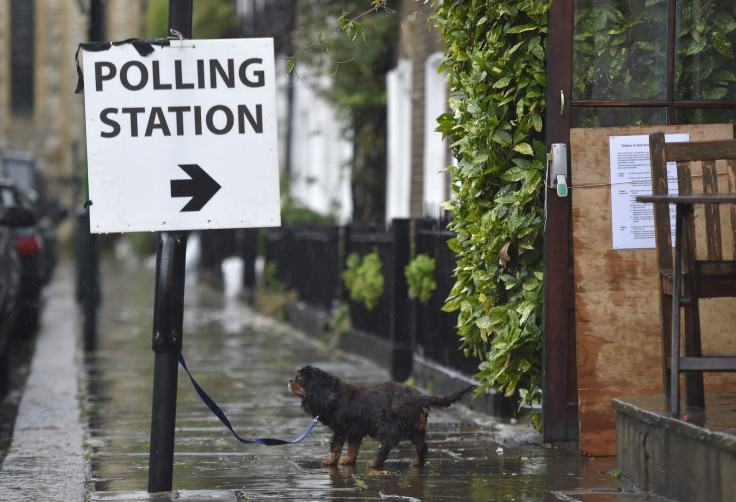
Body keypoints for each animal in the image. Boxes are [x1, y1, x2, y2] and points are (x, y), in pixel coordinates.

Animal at [288, 364, 472, 466]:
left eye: (300, 379)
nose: (290, 381)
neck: (331, 393)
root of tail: (421, 397)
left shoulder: (341, 429)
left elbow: (336, 446)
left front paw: (330, 461)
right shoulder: (355, 430)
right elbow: (352, 448)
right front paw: (348, 460)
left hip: (388, 426)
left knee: (386, 445)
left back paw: (375, 463)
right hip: (416, 430)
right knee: (421, 447)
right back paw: (417, 464)